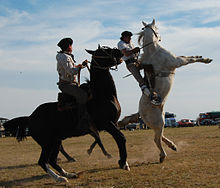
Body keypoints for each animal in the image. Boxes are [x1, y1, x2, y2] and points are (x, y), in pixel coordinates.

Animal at [3, 45, 129, 182]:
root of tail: (30, 117)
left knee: (52, 160)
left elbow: (107, 139)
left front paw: (120, 161)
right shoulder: (107, 123)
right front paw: (123, 163)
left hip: (56, 141)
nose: (119, 52)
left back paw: (68, 174)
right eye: (103, 51)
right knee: (43, 161)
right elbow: (120, 138)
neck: (102, 95)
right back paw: (59, 178)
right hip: (47, 143)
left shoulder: (112, 124)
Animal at [119, 18, 212, 163]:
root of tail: (140, 113)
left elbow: (189, 56)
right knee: (156, 139)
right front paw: (207, 59)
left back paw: (172, 146)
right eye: (157, 28)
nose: (160, 37)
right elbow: (190, 59)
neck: (153, 50)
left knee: (160, 135)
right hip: (158, 122)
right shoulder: (178, 62)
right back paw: (163, 155)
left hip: (159, 122)